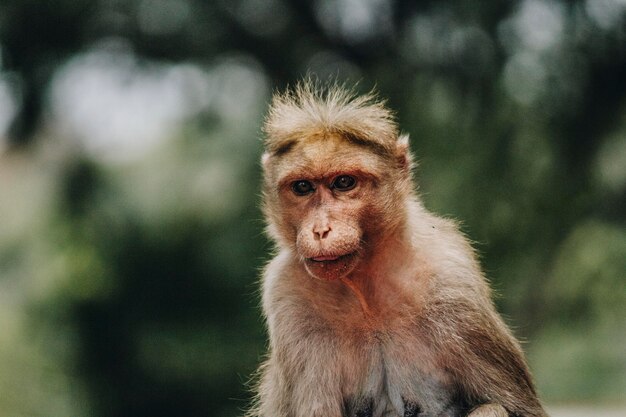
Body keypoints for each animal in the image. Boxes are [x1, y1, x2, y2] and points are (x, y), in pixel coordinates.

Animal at [249, 81, 544, 416]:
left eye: (344, 182)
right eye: (302, 187)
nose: (321, 230)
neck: (367, 294)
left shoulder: (454, 283)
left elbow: (517, 407)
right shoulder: (288, 296)